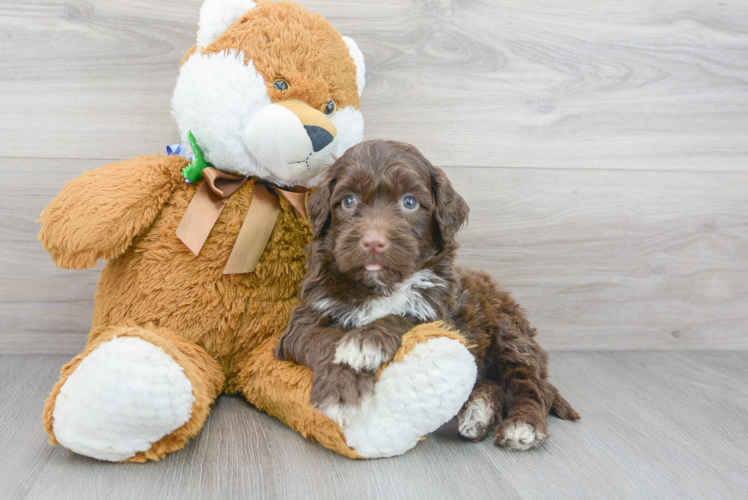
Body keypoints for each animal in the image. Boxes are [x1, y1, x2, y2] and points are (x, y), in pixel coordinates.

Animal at [278, 140, 580, 450]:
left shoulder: (436, 314)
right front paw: (340, 386)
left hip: (510, 334)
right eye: (348, 201)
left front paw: (364, 343)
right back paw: (478, 412)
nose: (373, 242)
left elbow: (400, 318)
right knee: (491, 382)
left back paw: (522, 425)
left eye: (409, 202)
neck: (381, 284)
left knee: (531, 385)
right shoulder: (304, 319)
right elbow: (324, 339)